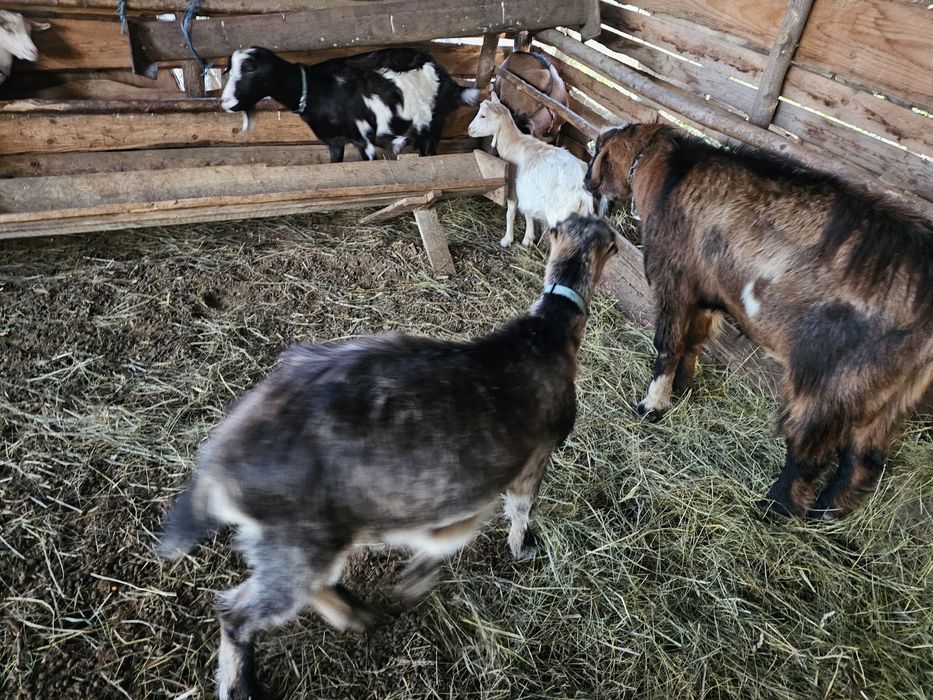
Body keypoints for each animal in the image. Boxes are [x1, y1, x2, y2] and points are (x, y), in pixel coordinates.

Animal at [157, 214, 623, 700]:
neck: (547, 333)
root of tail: (222, 458)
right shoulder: (537, 453)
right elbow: (518, 509)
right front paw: (520, 548)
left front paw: (420, 571)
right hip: (294, 540)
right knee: (238, 611)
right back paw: (244, 684)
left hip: (298, 539)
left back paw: (355, 615)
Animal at [220, 46, 480, 163]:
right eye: (229, 70)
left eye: (250, 70)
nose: (224, 101)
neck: (315, 88)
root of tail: (449, 78)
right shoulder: (335, 140)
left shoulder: (363, 139)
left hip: (434, 124)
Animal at [468, 92, 593, 248]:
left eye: (483, 116)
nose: (469, 129)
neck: (512, 143)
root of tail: (582, 191)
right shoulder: (529, 192)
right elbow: (529, 213)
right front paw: (528, 238)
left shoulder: (513, 188)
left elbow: (510, 213)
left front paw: (507, 240)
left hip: (562, 215)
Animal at [586, 123, 933, 521]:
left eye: (597, 153)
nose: (586, 182)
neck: (670, 172)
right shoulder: (703, 294)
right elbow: (693, 340)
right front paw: (684, 389)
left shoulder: (673, 279)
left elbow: (668, 345)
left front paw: (652, 406)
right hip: (889, 391)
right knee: (865, 454)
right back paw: (828, 513)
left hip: (833, 378)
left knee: (810, 450)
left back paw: (773, 507)